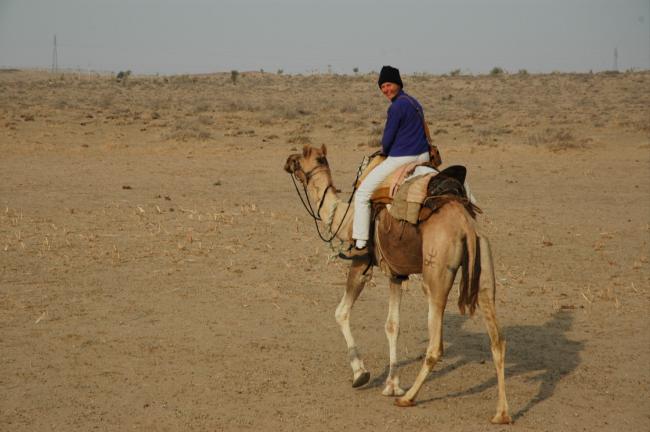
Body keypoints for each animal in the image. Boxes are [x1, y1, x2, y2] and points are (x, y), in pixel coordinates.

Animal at [284, 145, 511, 424]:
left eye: (305, 155)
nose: (288, 160)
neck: (345, 218)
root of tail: (465, 225)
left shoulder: (361, 263)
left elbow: (341, 312)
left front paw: (361, 373)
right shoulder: (395, 273)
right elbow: (393, 325)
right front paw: (392, 384)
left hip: (436, 273)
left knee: (436, 345)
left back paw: (409, 398)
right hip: (483, 263)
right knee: (497, 340)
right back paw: (502, 414)